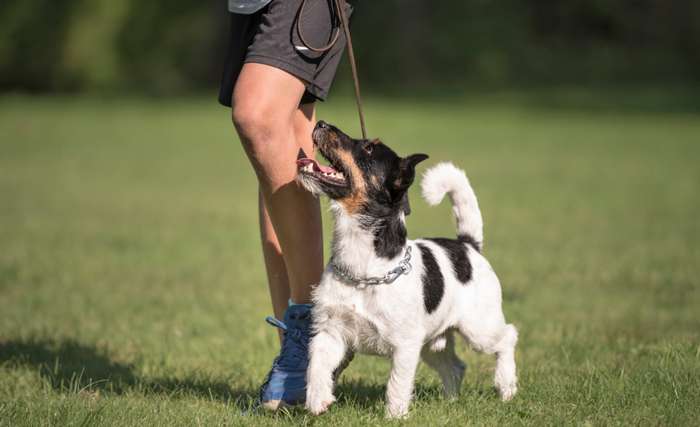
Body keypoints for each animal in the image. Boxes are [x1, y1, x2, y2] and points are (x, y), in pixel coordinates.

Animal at [292, 122, 516, 420]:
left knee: (508, 338)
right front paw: (318, 401)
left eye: (369, 148)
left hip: (479, 329)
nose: (321, 124)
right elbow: (315, 366)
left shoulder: (405, 346)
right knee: (455, 367)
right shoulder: (329, 331)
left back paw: (507, 388)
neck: (363, 269)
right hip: (434, 342)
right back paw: (451, 402)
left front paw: (395, 416)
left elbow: (397, 384)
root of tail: (469, 245)